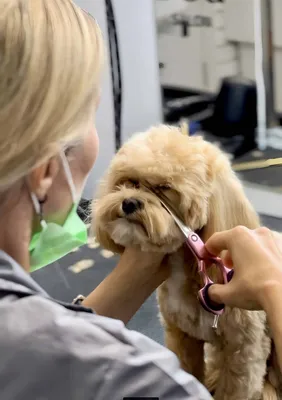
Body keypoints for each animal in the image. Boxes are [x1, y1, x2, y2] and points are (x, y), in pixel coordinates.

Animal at [93, 125, 280, 400]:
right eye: (132, 182)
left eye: (164, 188)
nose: (129, 202)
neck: (185, 270)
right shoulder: (182, 336)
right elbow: (188, 370)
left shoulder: (243, 352)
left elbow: (235, 388)